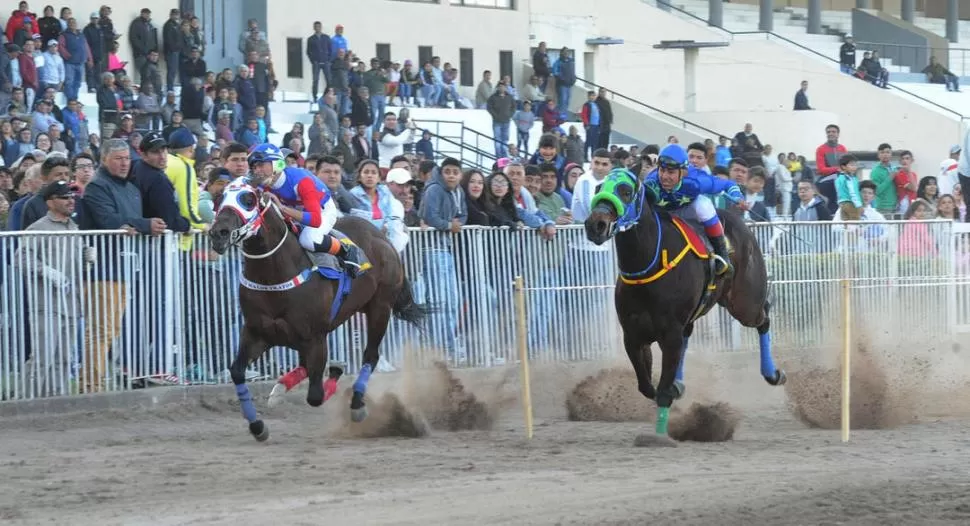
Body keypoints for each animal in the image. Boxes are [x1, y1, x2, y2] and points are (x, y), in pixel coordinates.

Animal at [210, 179, 426, 444]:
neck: (275, 275)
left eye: (248, 200)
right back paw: (280, 389)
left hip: (380, 308)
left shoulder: (315, 337)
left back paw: (356, 404)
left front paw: (336, 373)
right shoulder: (257, 332)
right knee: (304, 363)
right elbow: (238, 372)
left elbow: (315, 395)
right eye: (219, 198)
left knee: (370, 356)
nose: (218, 234)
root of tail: (381, 235)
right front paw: (258, 426)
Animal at [584, 171, 780, 444]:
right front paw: (673, 393)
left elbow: (662, 391)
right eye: (598, 187)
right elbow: (646, 386)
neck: (650, 263)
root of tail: (738, 220)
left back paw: (772, 373)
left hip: (744, 304)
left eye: (626, 191)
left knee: (764, 317)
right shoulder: (633, 335)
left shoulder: (670, 333)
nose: (596, 225)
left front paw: (659, 436)